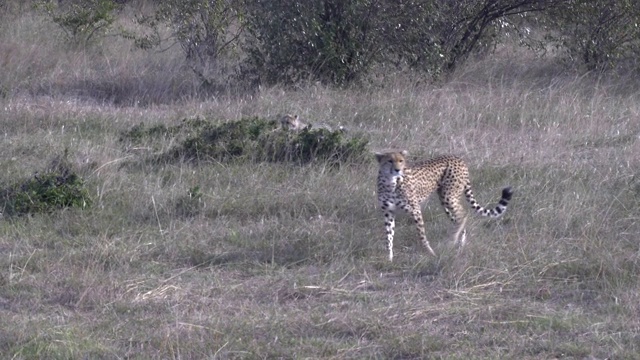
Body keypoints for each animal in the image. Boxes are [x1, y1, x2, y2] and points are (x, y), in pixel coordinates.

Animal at [378, 150, 512, 262]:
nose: (397, 170)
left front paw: (430, 253)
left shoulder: (415, 210)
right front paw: (389, 257)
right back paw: (459, 243)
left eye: (401, 160)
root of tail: (457, 158)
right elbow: (388, 236)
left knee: (462, 214)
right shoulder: (388, 213)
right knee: (458, 219)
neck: (390, 183)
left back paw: (454, 241)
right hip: (444, 200)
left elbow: (421, 236)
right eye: (389, 161)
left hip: (449, 197)